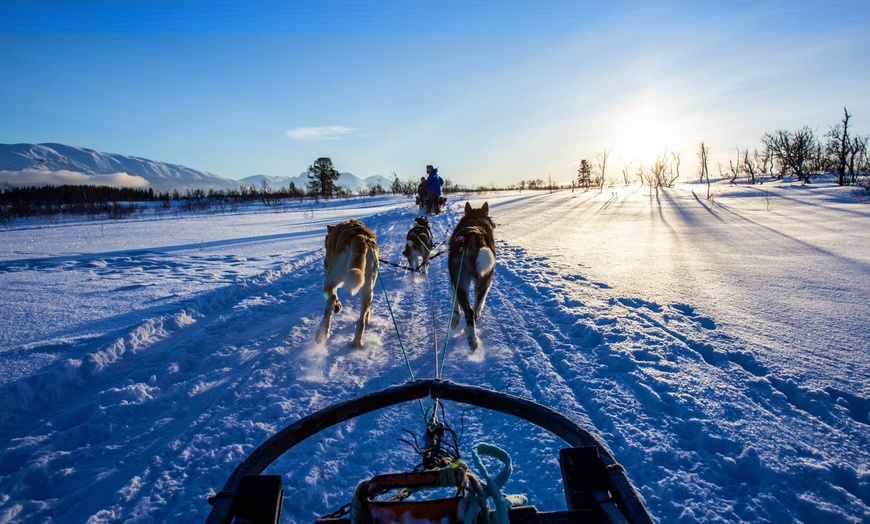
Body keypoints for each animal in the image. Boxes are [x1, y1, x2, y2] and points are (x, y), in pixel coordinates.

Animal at [316, 218, 380, 348]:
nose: (324, 262)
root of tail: (361, 238)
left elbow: (334, 297)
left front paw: (337, 306)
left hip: (331, 278)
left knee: (331, 300)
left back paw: (322, 333)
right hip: (367, 288)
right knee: (362, 320)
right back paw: (356, 342)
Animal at [450, 203, 498, 350]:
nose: (494, 224)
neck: (475, 220)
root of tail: (474, 236)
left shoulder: (455, 282)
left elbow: (455, 305)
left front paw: (455, 320)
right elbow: (480, 305)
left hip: (461, 282)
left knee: (470, 312)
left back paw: (472, 340)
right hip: (483, 281)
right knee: (475, 311)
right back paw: (471, 334)